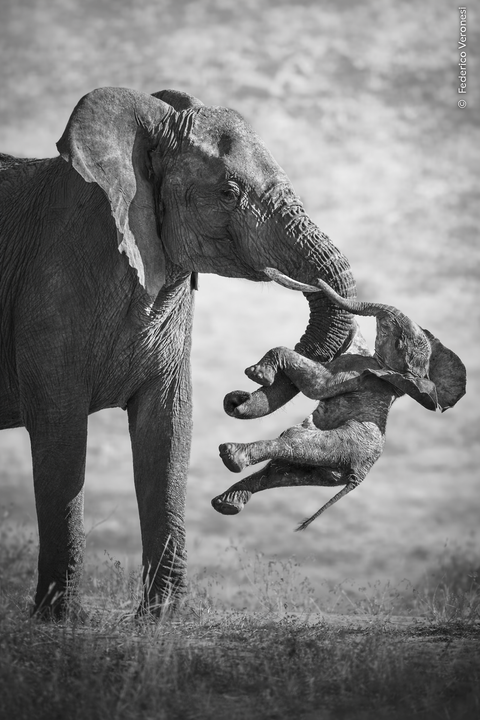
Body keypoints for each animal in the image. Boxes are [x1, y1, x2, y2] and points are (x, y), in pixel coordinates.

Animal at [0, 87, 358, 617]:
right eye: (229, 192)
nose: (241, 389)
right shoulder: (48, 290)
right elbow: (60, 434)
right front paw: (59, 621)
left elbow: (167, 427)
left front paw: (162, 618)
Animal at [212, 278, 466, 530]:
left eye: (398, 341)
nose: (236, 400)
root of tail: (358, 477)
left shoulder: (356, 372)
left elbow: (316, 386)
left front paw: (257, 375)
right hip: (329, 468)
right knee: (281, 470)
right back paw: (226, 503)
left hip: (340, 445)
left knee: (293, 442)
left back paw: (232, 456)